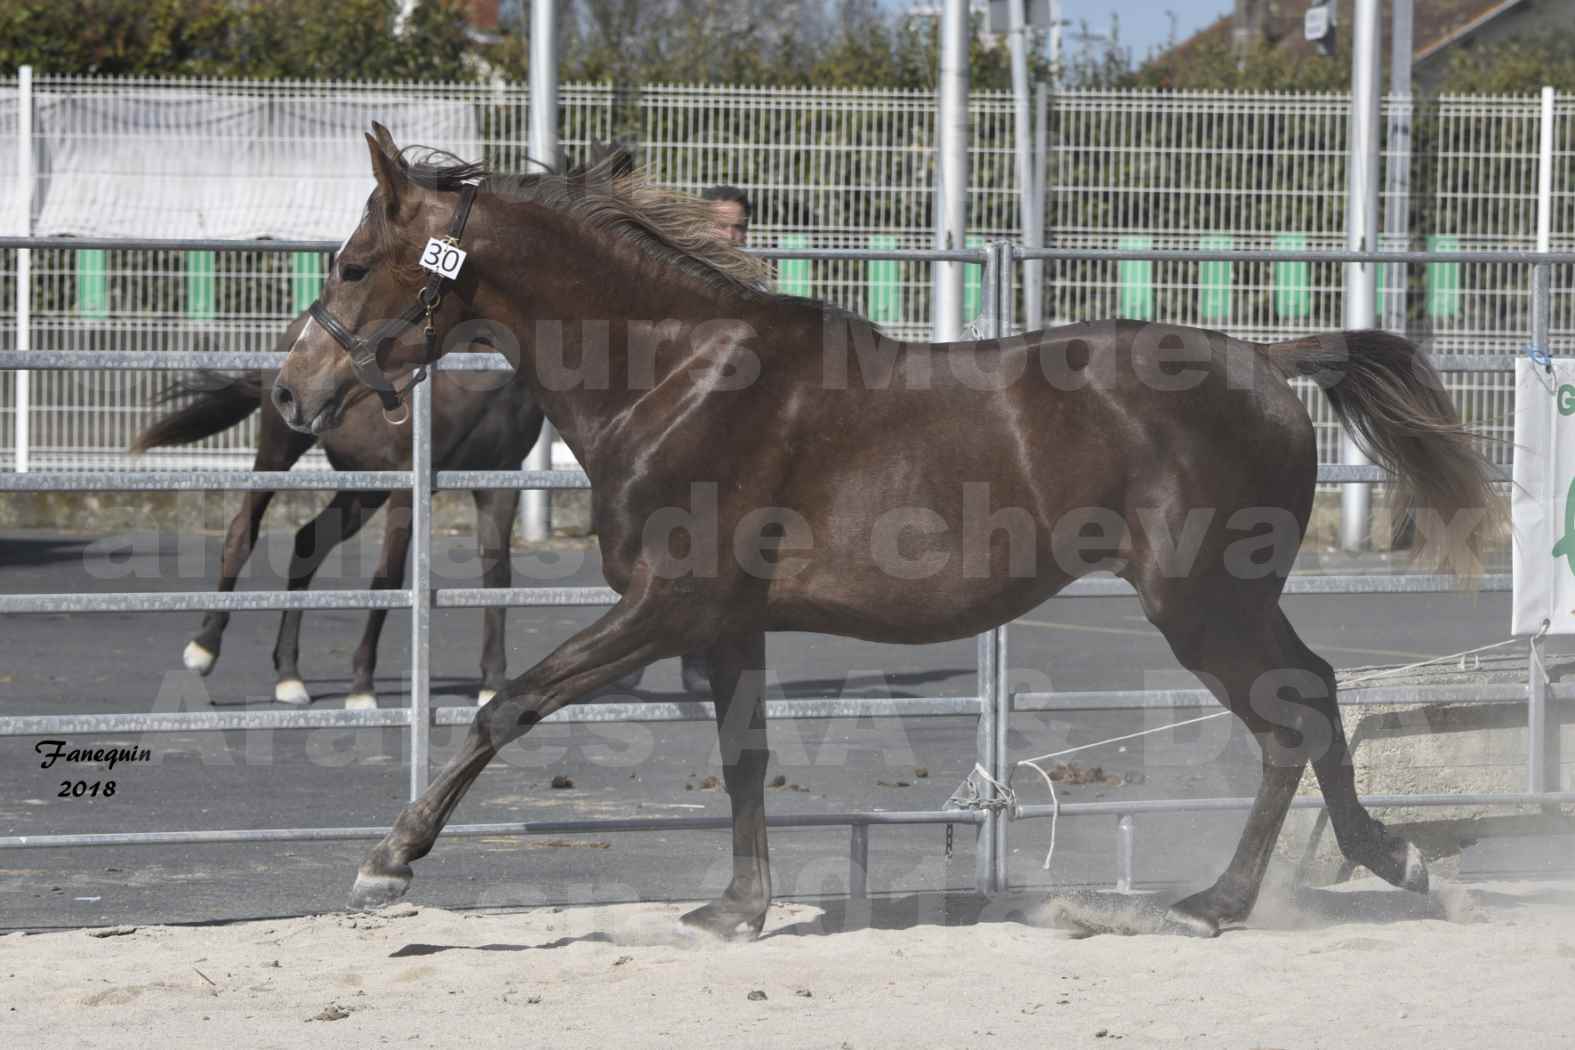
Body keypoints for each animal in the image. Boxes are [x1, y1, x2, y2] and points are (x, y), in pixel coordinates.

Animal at [130, 308, 535, 711]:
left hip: (365, 490)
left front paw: (492, 685)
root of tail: (299, 328)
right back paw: (203, 650)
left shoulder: (499, 481)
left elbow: (497, 576)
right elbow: (387, 577)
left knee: (309, 542)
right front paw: (361, 688)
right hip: (281, 448)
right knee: (243, 531)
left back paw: (289, 676)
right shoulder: (407, 486)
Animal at [274, 127, 1499, 938]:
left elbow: (508, 703)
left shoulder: (667, 605)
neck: (674, 375)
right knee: (1315, 704)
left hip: (1203, 606)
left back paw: (1246, 897)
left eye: (350, 263)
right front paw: (738, 909)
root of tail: (1268, 363)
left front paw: (387, 864)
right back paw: (1359, 870)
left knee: (1293, 717)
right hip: (1228, 603)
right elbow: (744, 756)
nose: (291, 395)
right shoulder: (726, 622)